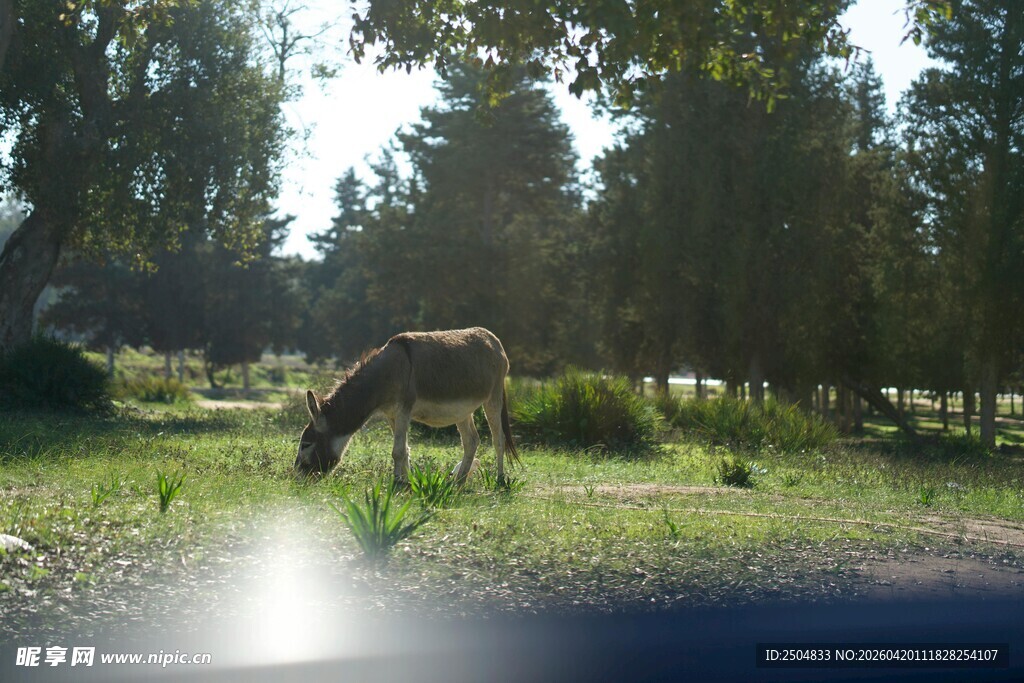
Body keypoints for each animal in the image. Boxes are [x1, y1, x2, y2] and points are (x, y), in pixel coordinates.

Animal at [295, 327, 519, 484]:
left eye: (306, 444)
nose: (296, 477)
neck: (385, 374)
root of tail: (493, 339)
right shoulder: (392, 415)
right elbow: (405, 449)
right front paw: (408, 482)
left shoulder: (404, 409)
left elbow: (398, 451)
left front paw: (397, 483)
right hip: (463, 411)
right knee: (471, 441)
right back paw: (459, 482)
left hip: (493, 398)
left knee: (498, 440)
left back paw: (499, 480)